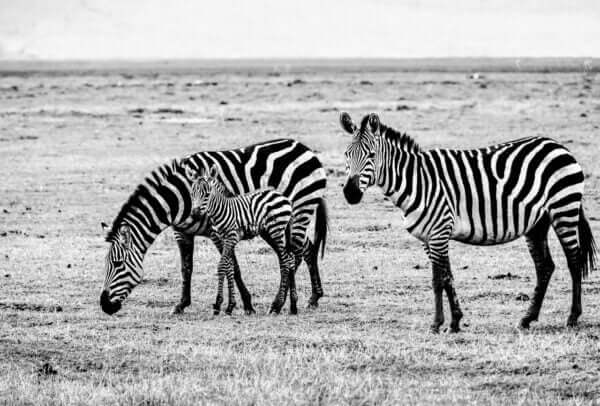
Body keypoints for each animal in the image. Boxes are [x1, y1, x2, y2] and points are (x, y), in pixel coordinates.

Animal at [190, 164, 298, 314]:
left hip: (276, 230)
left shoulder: (231, 237)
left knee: (285, 262)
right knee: (290, 259)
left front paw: (218, 304)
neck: (222, 210)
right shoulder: (223, 239)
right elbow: (229, 267)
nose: (194, 214)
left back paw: (277, 305)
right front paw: (230, 305)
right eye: (192, 193)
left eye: (207, 194)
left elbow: (222, 266)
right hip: (269, 233)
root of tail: (283, 196)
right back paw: (293, 305)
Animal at [340, 112, 596, 334]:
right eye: (346, 154)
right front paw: (455, 322)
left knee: (574, 261)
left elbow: (437, 280)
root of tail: (558, 145)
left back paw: (572, 318)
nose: (350, 193)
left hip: (564, 210)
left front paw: (437, 324)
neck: (417, 182)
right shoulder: (429, 238)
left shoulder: (439, 232)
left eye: (371, 155)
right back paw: (527, 318)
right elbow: (447, 278)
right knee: (545, 267)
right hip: (537, 223)